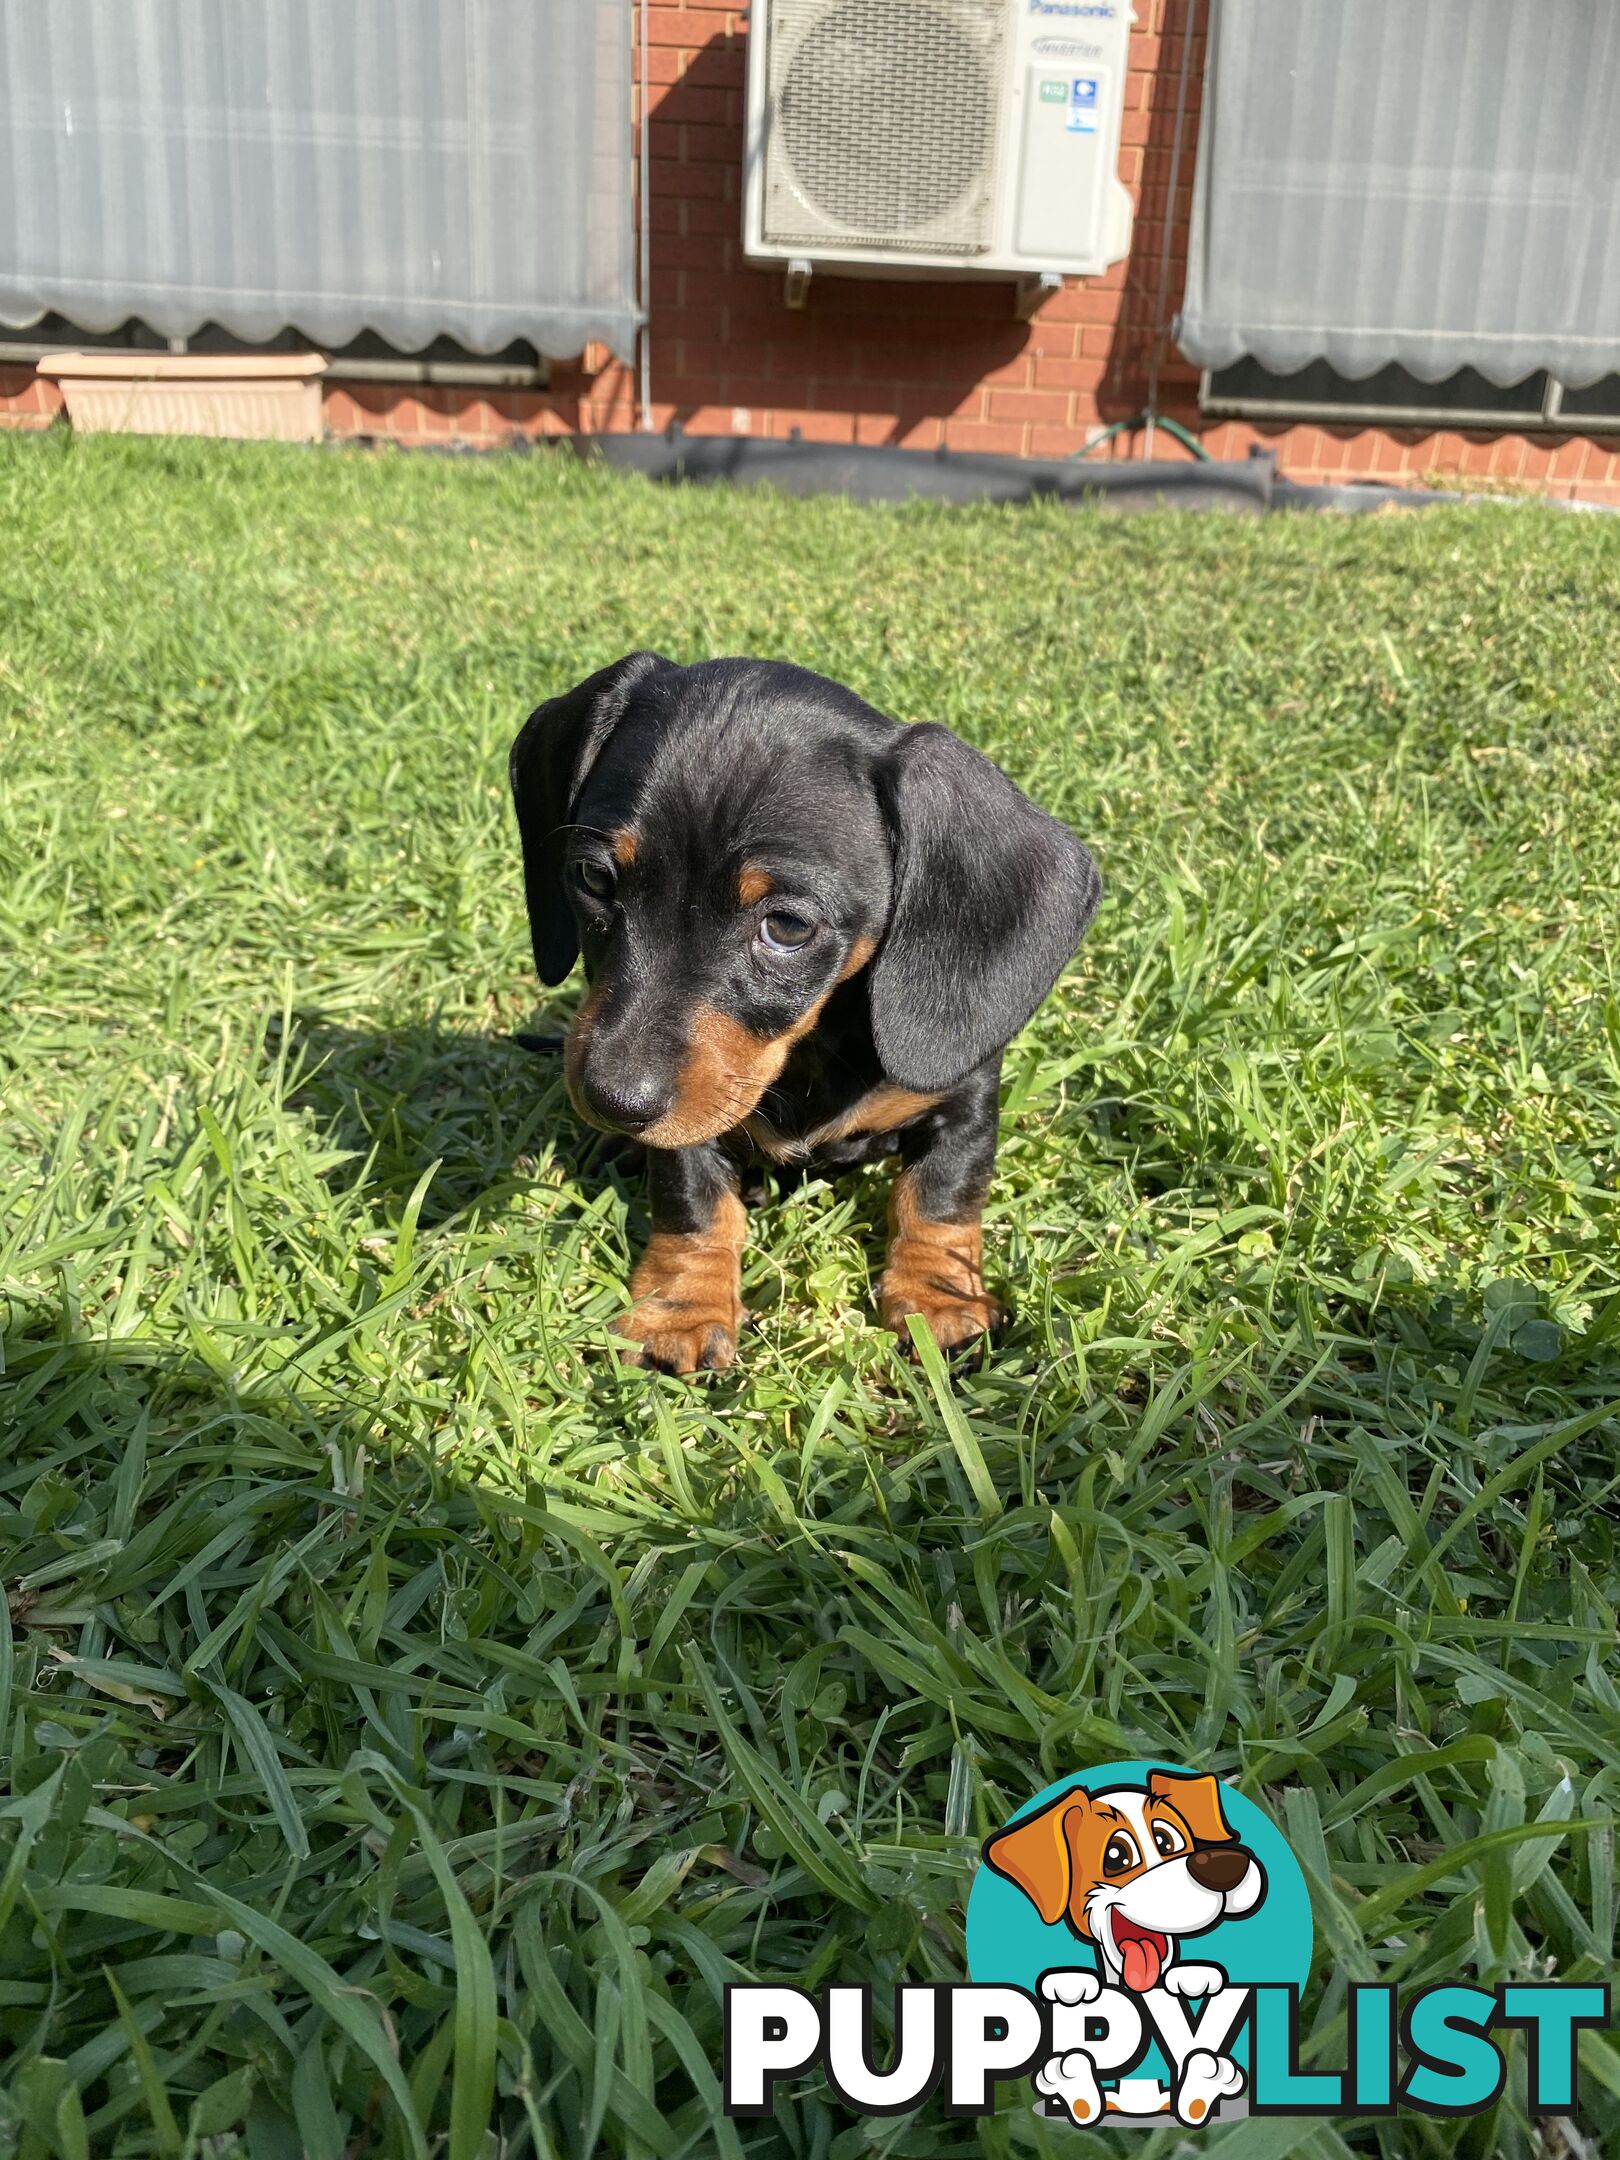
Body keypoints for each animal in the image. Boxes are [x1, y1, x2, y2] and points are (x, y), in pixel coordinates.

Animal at [514, 648, 1105, 1373]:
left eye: (789, 927)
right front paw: (682, 1309)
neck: (809, 1048)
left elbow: (940, 1198)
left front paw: (939, 1300)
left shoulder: (964, 1097)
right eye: (594, 878)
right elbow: (692, 1200)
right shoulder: (692, 1120)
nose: (614, 1101)